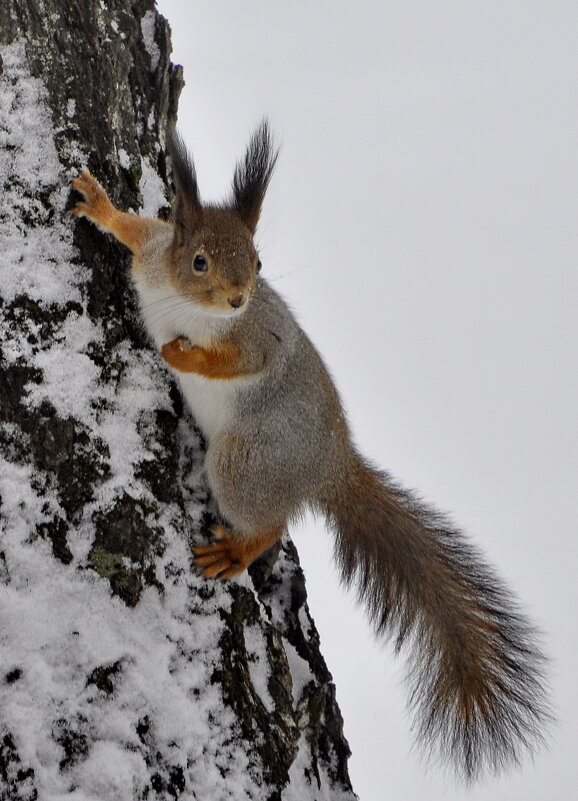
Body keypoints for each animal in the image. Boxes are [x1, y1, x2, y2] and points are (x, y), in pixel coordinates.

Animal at [72, 122, 548, 784]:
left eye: (258, 262)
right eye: (199, 260)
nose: (238, 299)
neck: (184, 302)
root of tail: (330, 470)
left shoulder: (258, 337)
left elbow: (239, 361)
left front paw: (183, 354)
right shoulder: (154, 255)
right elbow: (134, 229)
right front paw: (99, 204)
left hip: (245, 464)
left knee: (270, 525)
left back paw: (236, 550)